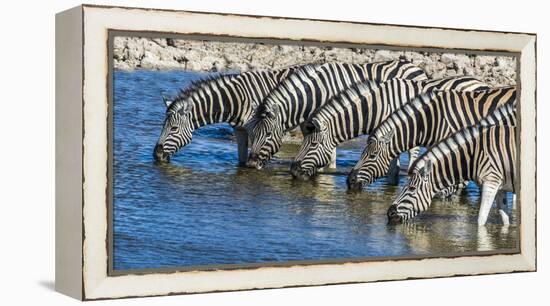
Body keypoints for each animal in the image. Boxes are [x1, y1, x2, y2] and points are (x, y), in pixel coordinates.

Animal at [153, 67, 300, 163]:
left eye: (174, 129)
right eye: (162, 126)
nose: (156, 155)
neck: (237, 99)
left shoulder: (257, 131)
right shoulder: (239, 130)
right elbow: (241, 160)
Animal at [244, 59, 430, 170]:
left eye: (268, 134)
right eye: (253, 133)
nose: (251, 164)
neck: (315, 94)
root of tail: (416, 67)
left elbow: (330, 152)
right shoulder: (310, 124)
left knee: (413, 151)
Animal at [388, 123, 516, 225]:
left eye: (412, 189)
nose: (389, 213)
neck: (474, 156)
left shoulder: (491, 182)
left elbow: (481, 219)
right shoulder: (500, 188)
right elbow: (505, 219)